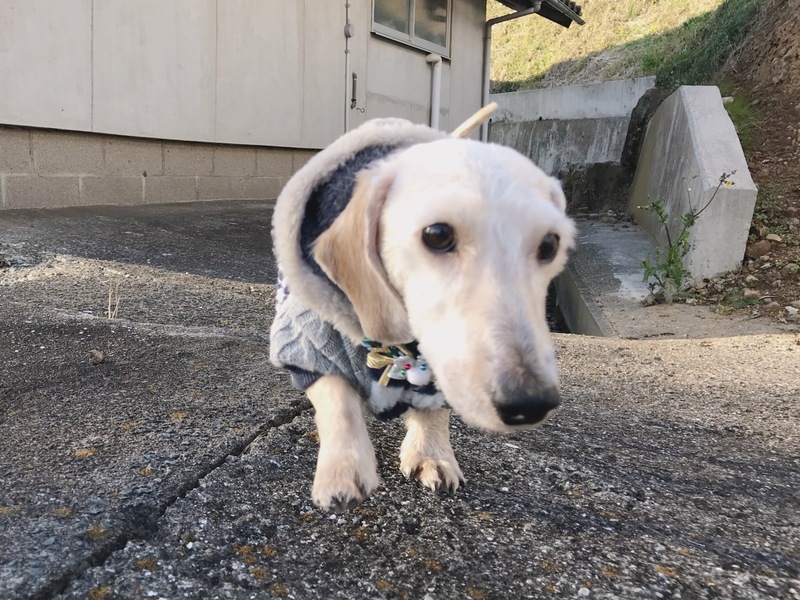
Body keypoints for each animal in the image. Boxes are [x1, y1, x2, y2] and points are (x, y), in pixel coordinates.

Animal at [270, 114, 575, 511]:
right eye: (438, 234)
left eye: (550, 244)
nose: (530, 403)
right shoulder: (307, 345)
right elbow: (337, 399)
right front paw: (343, 469)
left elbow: (434, 410)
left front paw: (431, 454)